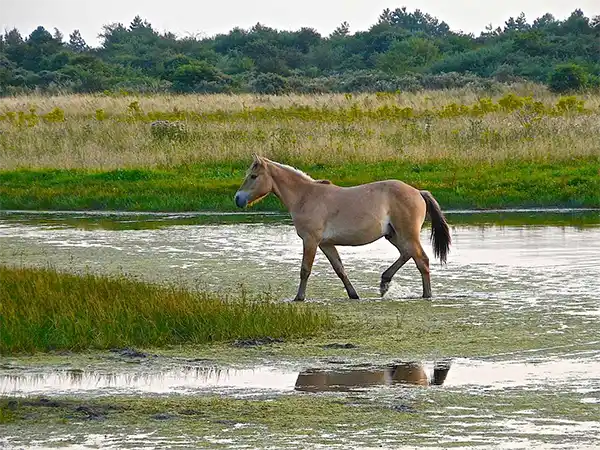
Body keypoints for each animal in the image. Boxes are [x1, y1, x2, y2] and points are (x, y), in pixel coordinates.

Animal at [234, 156, 450, 302]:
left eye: (253, 176)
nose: (238, 199)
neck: (305, 196)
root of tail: (418, 192)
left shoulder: (310, 241)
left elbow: (305, 269)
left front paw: (299, 297)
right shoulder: (326, 244)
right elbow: (340, 269)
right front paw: (353, 295)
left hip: (407, 234)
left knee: (422, 260)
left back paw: (426, 295)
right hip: (393, 235)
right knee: (407, 254)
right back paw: (384, 282)